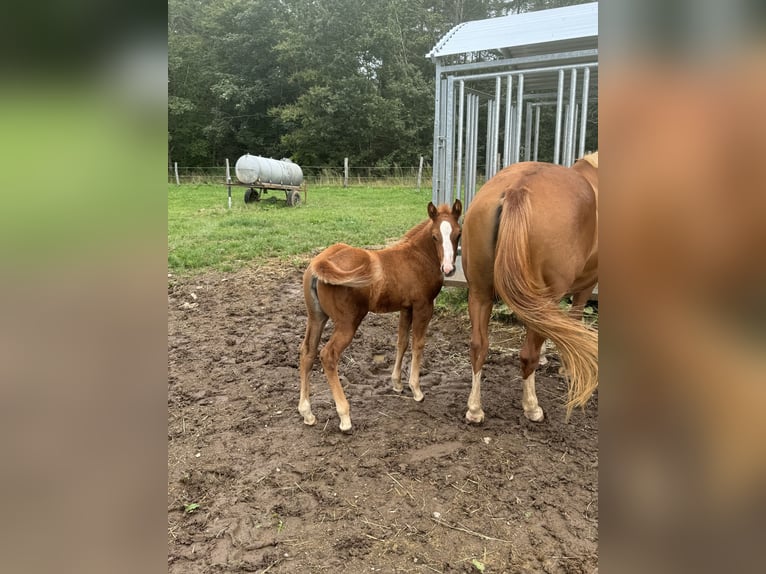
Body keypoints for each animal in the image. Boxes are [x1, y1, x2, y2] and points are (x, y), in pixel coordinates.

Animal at [298, 200, 462, 430]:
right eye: (434, 236)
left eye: (458, 233)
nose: (448, 268)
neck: (418, 257)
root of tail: (321, 261)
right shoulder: (424, 306)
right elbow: (418, 344)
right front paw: (416, 390)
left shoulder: (406, 307)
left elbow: (402, 342)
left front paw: (397, 384)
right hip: (348, 323)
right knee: (328, 355)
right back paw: (344, 416)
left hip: (316, 317)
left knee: (307, 353)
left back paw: (307, 413)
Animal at [462, 153, 600, 424]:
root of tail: (517, 189)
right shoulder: (587, 286)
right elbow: (574, 321)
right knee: (527, 354)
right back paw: (532, 407)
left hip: (480, 292)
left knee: (479, 347)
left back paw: (474, 409)